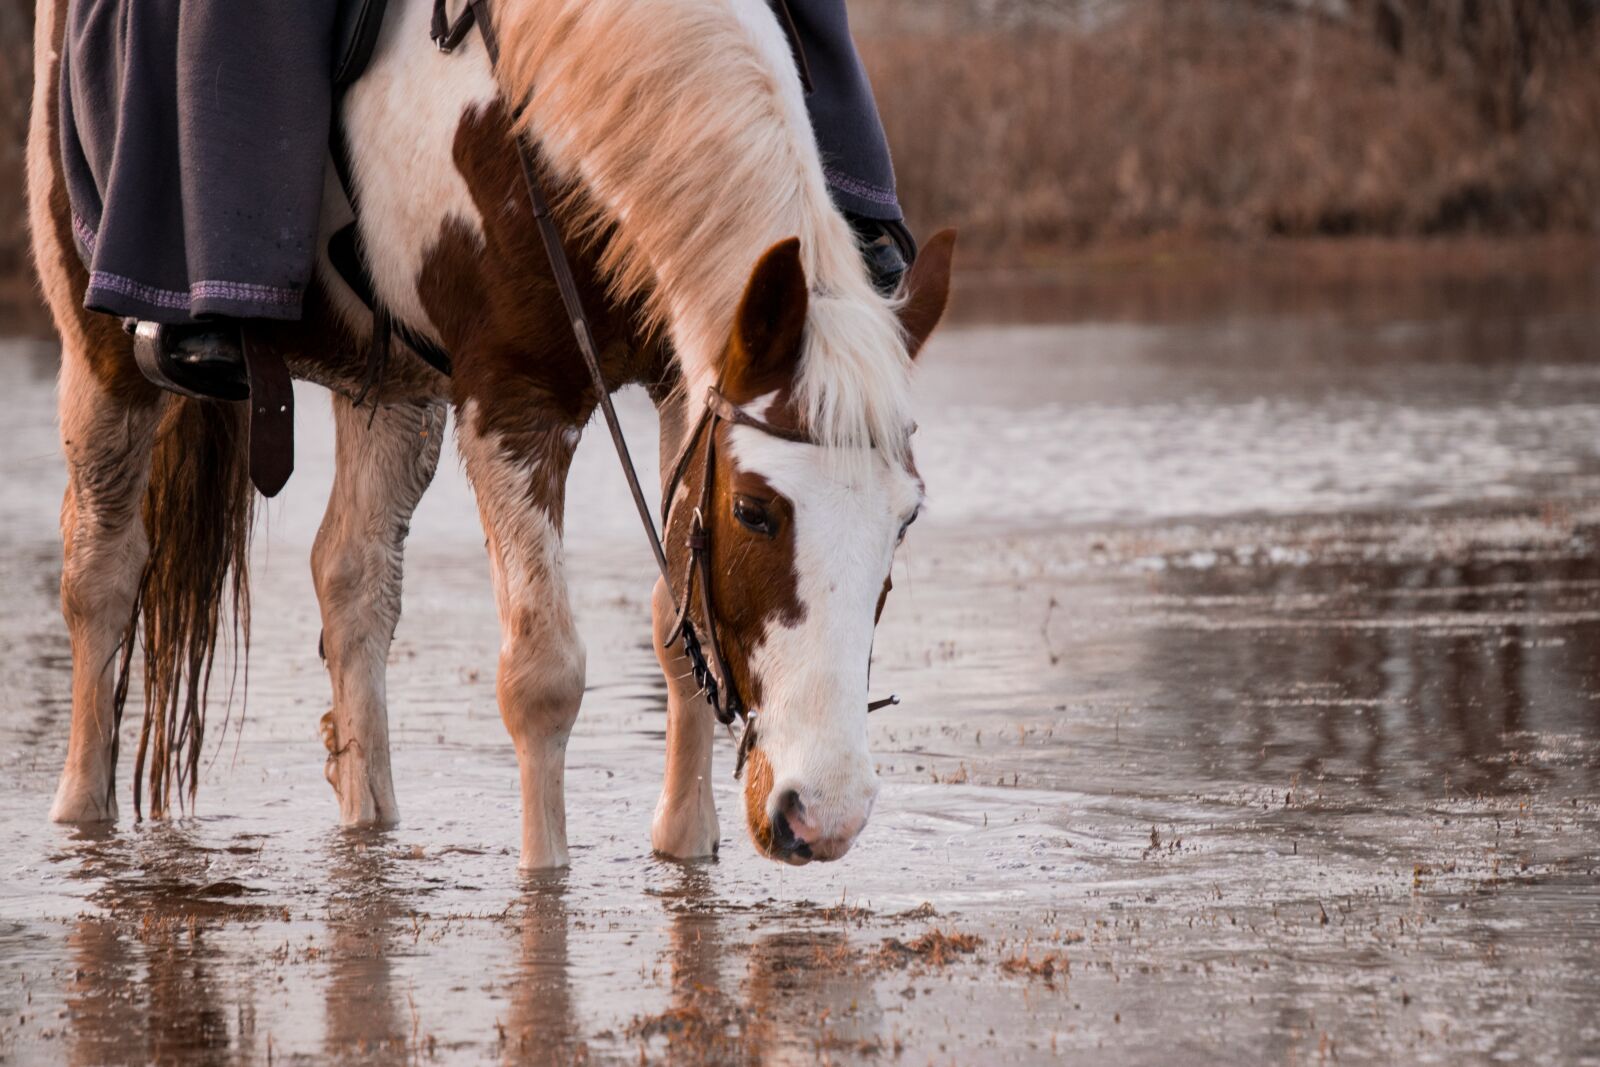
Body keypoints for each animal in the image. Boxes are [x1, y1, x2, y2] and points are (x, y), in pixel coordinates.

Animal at [26, 0, 954, 868]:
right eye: (756, 511)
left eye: (905, 519)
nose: (825, 813)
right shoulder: (513, 404)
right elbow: (542, 677)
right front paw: (545, 880)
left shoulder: (681, 380)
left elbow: (678, 621)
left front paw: (685, 846)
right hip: (100, 345)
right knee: (100, 573)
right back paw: (80, 814)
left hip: (391, 390)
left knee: (353, 578)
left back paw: (370, 818)